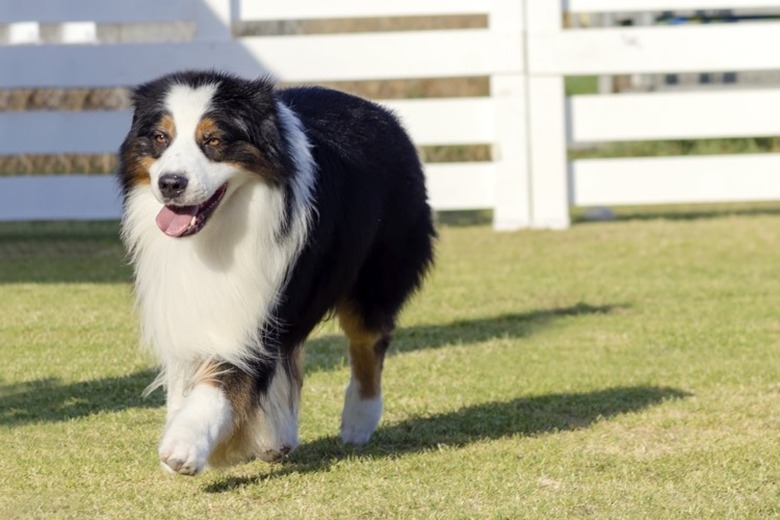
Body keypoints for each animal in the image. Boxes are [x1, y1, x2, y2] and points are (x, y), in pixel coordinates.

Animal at [116, 70, 436, 476]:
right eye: (160, 137)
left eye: (214, 140)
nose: (171, 183)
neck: (220, 231)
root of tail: (385, 115)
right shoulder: (190, 299)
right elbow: (190, 368)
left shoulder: (260, 306)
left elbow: (226, 374)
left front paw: (185, 445)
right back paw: (278, 436)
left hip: (375, 277)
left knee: (367, 343)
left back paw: (357, 422)